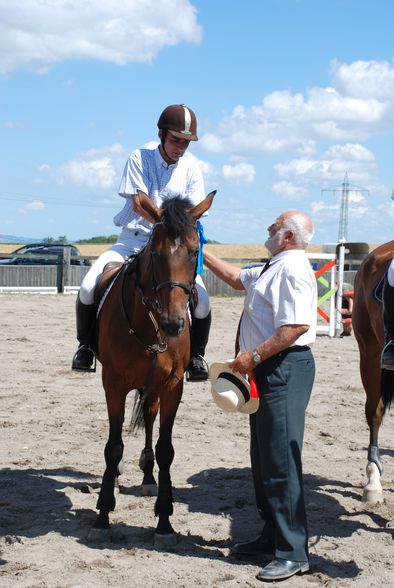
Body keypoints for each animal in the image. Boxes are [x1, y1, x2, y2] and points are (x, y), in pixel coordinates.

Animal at [89, 189, 215, 548]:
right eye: (156, 254)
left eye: (194, 251)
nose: (173, 324)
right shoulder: (113, 384)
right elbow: (113, 447)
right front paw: (103, 515)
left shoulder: (172, 386)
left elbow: (165, 449)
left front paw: (164, 521)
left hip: (155, 388)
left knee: (148, 420)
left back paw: (148, 477)